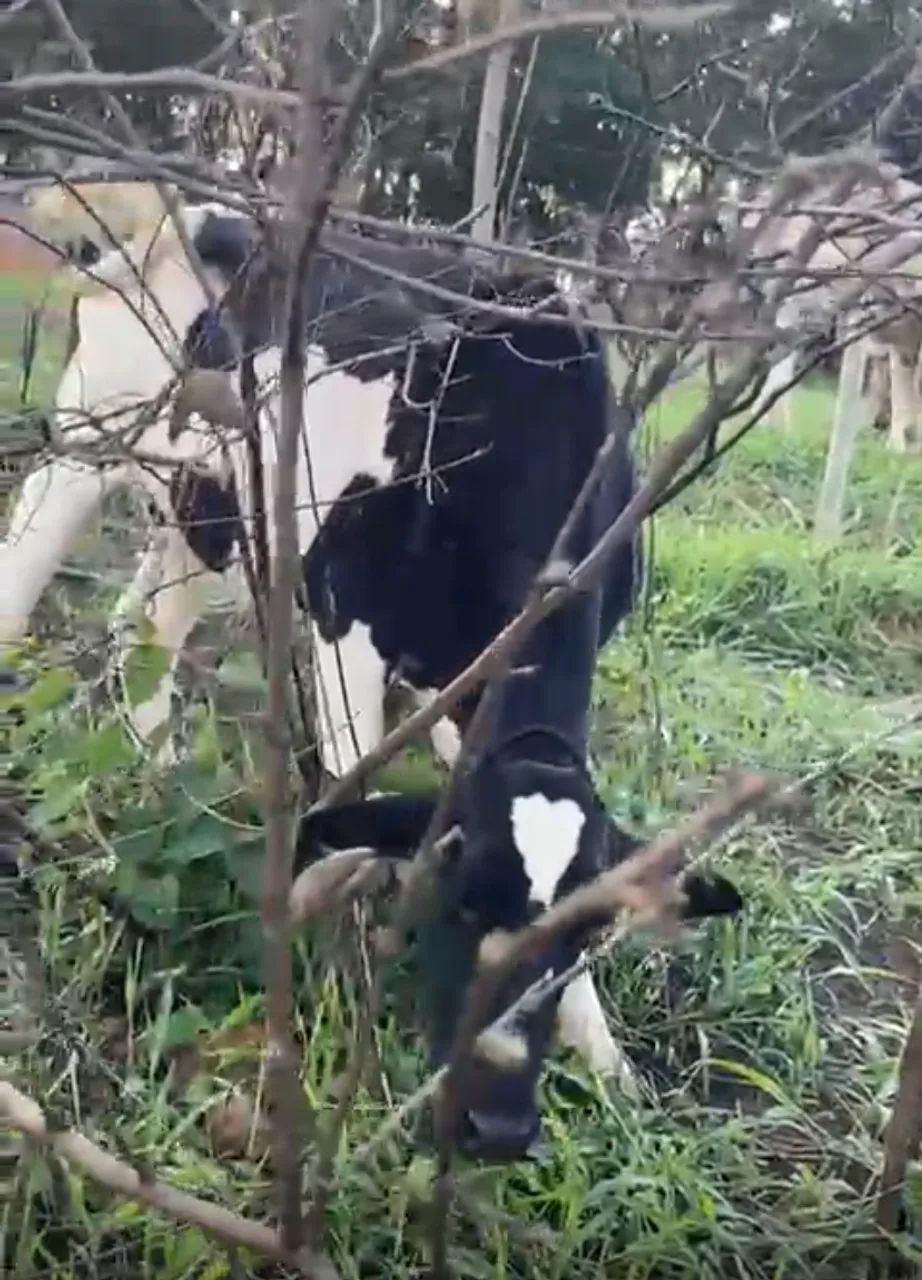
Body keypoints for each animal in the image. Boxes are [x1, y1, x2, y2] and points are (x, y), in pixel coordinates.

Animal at [0, 200, 743, 1158]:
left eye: (586, 933)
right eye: (460, 903)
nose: (498, 1125)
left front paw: (609, 1064)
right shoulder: (343, 618)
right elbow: (357, 815)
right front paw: (340, 1000)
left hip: (208, 508)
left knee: (147, 639)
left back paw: (157, 791)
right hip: (85, 444)